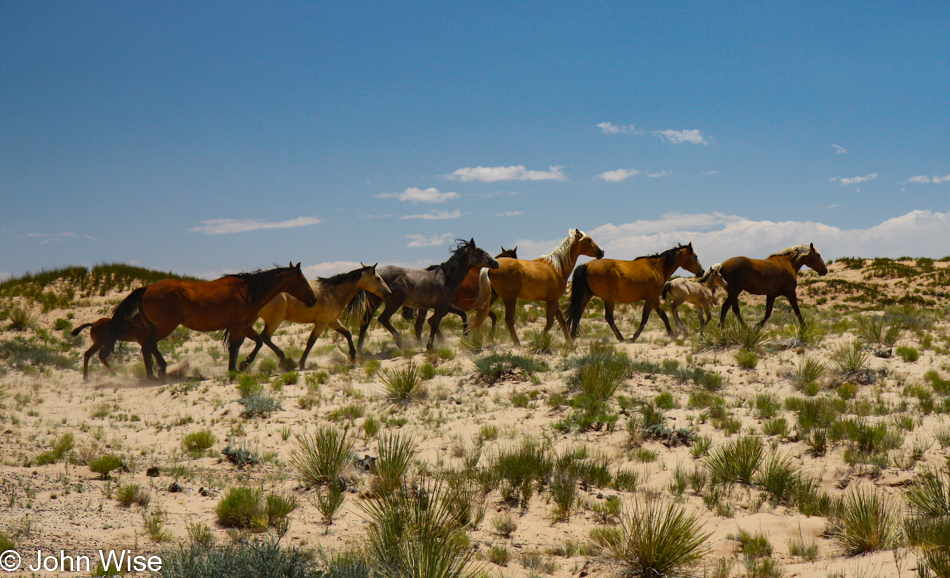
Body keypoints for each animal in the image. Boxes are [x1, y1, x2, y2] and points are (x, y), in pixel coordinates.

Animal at [103, 262, 316, 378]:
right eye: (303, 280)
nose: (314, 300)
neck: (249, 292)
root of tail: (146, 289)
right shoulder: (238, 326)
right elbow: (235, 347)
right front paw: (234, 369)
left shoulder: (245, 326)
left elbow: (258, 343)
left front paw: (244, 364)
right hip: (165, 326)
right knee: (148, 345)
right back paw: (156, 374)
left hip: (156, 327)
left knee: (148, 347)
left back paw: (157, 372)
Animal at [245, 262, 398, 368]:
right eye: (378, 278)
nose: (389, 292)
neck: (332, 292)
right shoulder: (322, 323)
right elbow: (311, 342)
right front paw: (301, 363)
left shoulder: (332, 321)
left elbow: (347, 334)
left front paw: (353, 357)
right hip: (275, 320)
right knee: (265, 337)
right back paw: (282, 360)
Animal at [356, 237, 502, 352]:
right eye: (481, 251)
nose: (496, 263)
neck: (447, 279)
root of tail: (373, 273)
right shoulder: (442, 307)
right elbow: (434, 322)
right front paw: (430, 346)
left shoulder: (446, 306)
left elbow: (461, 315)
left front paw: (466, 336)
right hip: (394, 302)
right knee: (383, 318)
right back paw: (399, 341)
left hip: (375, 302)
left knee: (365, 322)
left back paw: (359, 351)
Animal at [474, 228, 608, 346]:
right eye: (589, 240)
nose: (602, 252)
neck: (557, 267)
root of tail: (491, 267)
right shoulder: (551, 300)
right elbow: (550, 323)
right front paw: (538, 339)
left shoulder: (554, 300)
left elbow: (562, 320)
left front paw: (569, 342)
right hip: (509, 299)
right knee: (508, 320)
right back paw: (517, 343)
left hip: (493, 297)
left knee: (481, 315)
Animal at [564, 241, 708, 340]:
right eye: (695, 256)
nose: (702, 271)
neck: (657, 267)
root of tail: (586, 265)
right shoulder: (650, 299)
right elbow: (645, 318)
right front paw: (634, 337)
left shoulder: (654, 299)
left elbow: (664, 316)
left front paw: (671, 334)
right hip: (608, 299)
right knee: (608, 317)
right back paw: (621, 338)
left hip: (586, 296)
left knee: (577, 314)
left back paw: (573, 337)